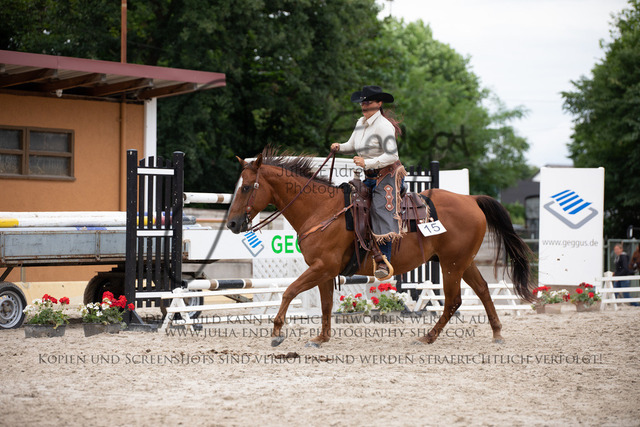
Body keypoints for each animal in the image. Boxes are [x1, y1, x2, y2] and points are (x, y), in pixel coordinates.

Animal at [226, 147, 536, 347]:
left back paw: (428, 337)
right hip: (462, 261)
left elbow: (289, 291)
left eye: (246, 187)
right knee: (482, 290)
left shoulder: (322, 266)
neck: (321, 209)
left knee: (453, 301)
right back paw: (496, 333)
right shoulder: (324, 271)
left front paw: (277, 332)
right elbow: (325, 304)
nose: (231, 223)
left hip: (451, 264)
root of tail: (471, 199)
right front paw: (321, 338)